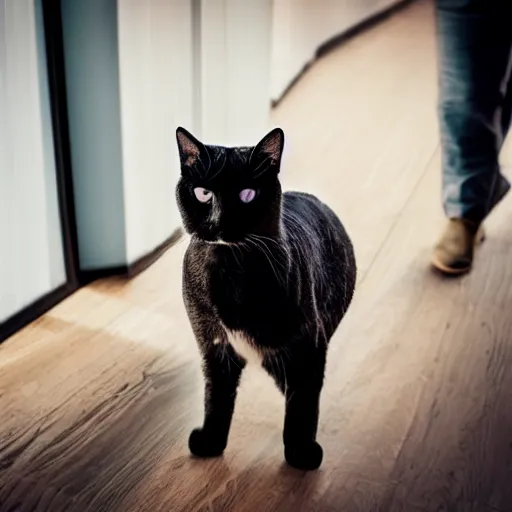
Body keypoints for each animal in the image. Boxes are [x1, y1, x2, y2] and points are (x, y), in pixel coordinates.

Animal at [176, 126, 356, 470]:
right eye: (203, 193)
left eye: (247, 194)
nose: (219, 222)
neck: (230, 270)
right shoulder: (213, 347)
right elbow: (215, 398)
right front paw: (211, 442)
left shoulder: (309, 345)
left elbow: (302, 404)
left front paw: (301, 454)